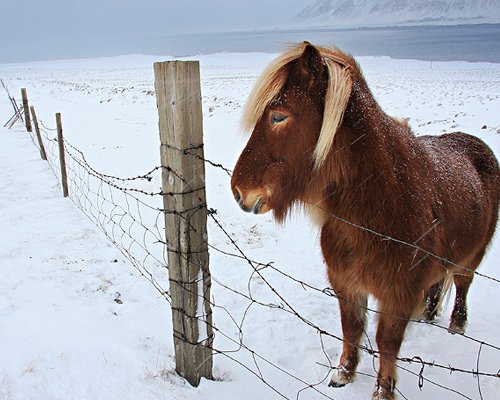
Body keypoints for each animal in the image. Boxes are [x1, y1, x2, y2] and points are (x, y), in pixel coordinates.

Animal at [231, 41, 500, 400]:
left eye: (278, 115)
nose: (238, 190)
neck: (377, 210)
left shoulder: (398, 292)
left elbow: (387, 342)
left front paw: (383, 390)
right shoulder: (345, 281)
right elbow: (352, 327)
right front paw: (344, 373)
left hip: (472, 255)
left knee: (462, 283)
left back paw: (456, 324)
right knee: (437, 284)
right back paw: (428, 316)